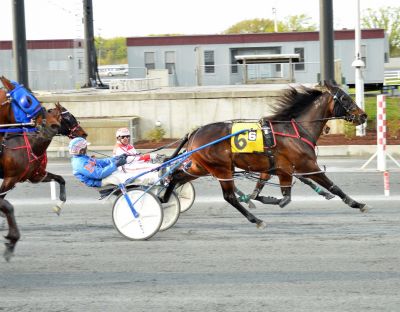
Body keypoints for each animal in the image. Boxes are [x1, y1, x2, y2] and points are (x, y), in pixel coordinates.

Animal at [0, 103, 86, 260]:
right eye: (68, 117)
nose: (84, 134)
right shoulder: (10, 179)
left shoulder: (35, 176)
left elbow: (61, 179)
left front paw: (58, 205)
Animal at [161, 80, 368, 228]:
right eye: (346, 99)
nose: (364, 115)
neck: (295, 130)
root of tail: (194, 132)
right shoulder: (306, 165)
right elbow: (332, 187)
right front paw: (357, 204)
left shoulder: (276, 169)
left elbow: (272, 194)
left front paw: (264, 198)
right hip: (221, 169)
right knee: (229, 197)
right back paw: (256, 220)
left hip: (200, 167)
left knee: (176, 176)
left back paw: (164, 200)